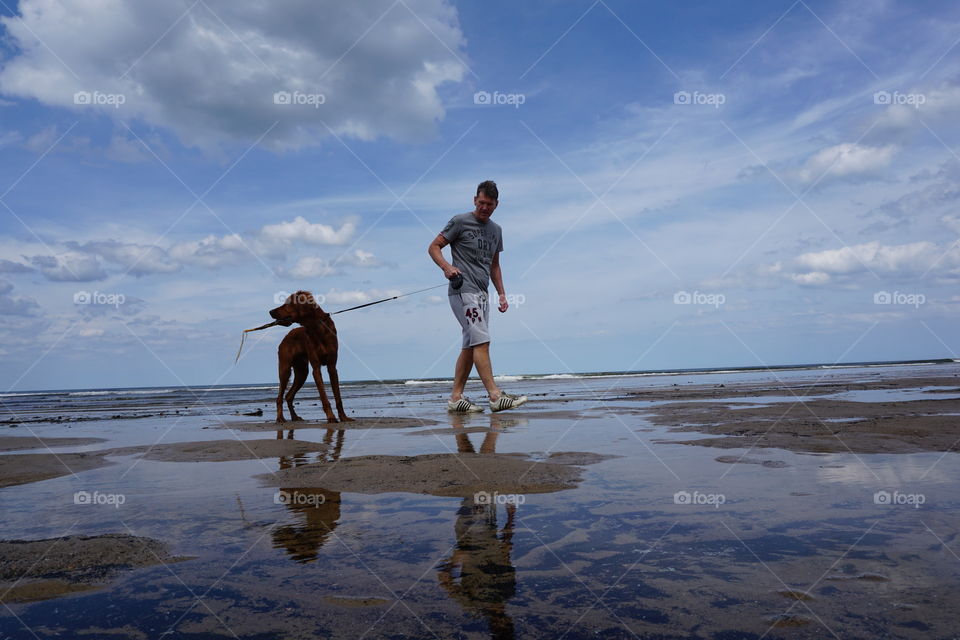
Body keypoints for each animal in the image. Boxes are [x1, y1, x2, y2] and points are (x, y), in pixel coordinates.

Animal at [266, 292, 352, 424]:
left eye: (288, 303)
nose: (270, 311)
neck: (317, 327)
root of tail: (287, 336)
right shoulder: (316, 368)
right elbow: (323, 396)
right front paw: (331, 417)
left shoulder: (332, 367)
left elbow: (338, 397)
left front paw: (343, 417)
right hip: (285, 368)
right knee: (279, 397)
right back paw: (280, 418)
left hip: (302, 372)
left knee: (288, 396)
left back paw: (295, 417)